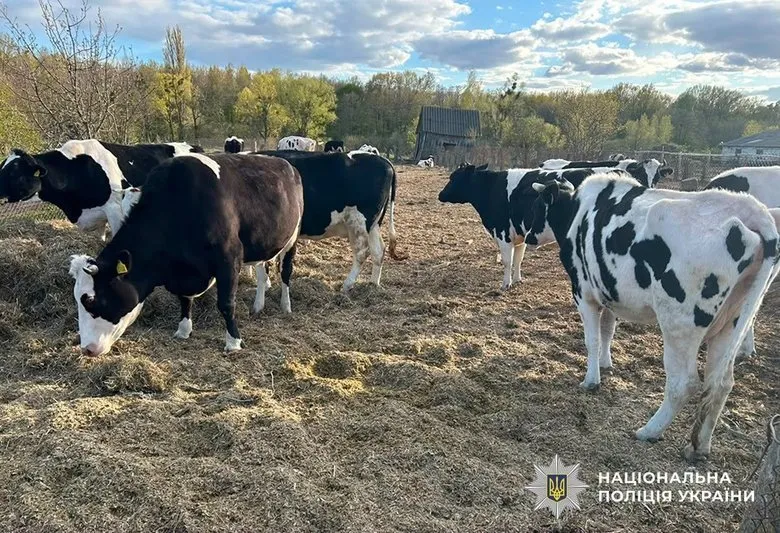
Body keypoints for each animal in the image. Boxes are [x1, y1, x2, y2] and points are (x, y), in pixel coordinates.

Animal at [70, 152, 304, 357]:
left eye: (92, 301)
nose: (86, 349)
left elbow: (226, 304)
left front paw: (233, 342)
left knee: (285, 272)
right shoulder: (182, 271)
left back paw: (286, 306)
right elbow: (183, 299)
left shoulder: (229, 259)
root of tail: (285, 163)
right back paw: (258, 306)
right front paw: (183, 330)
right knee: (262, 271)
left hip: (292, 238)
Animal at [250, 150, 403, 292]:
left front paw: (265, 283)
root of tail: (382, 159)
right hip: (373, 225)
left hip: (359, 223)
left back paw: (347, 285)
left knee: (361, 252)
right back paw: (373, 284)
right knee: (378, 251)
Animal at [438, 164, 628, 290]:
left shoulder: (503, 233)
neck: (492, 189)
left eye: (453, 178)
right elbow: (518, 259)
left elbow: (507, 261)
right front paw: (517, 280)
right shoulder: (520, 235)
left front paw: (505, 284)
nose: (440, 195)